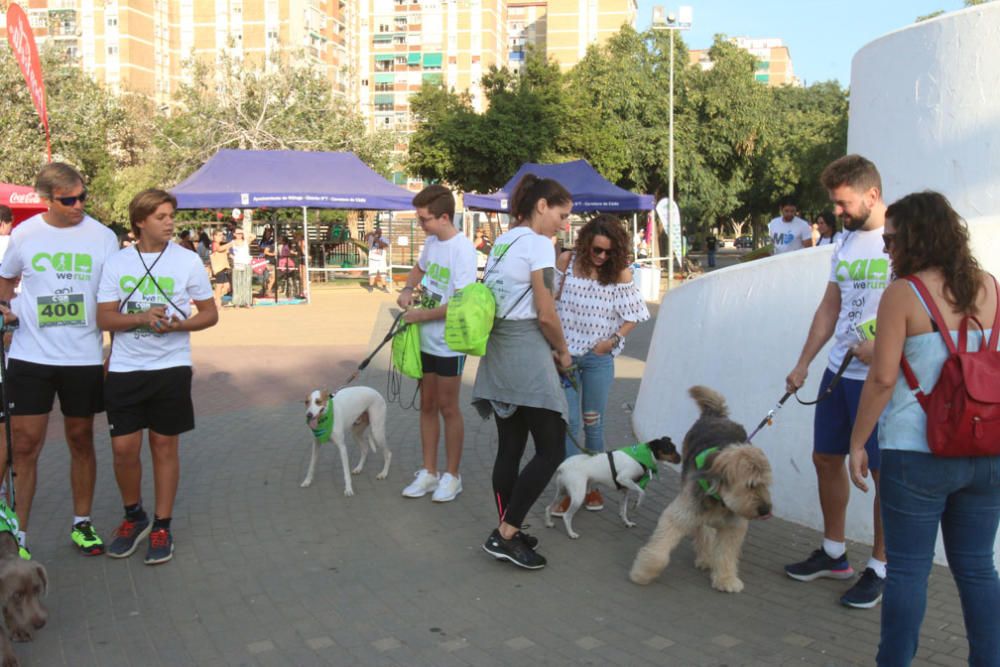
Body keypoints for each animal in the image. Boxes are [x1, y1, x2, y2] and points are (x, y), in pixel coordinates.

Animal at [0, 528, 47, 664]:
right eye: (17, 595)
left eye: (37, 589)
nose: (40, 624)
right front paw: (8, 658)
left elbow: (9, 609)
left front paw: (18, 631)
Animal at [548, 436, 680, 540]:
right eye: (669, 449)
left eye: (675, 447)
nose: (681, 458)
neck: (643, 455)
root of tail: (563, 465)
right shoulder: (623, 478)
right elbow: (642, 492)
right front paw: (637, 504)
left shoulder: (625, 490)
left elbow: (623, 509)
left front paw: (626, 522)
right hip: (578, 495)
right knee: (566, 516)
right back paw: (571, 534)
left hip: (562, 492)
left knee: (548, 507)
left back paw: (549, 523)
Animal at [632, 386, 772, 596]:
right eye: (750, 485)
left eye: (766, 484)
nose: (765, 511)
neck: (720, 499)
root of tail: (716, 415)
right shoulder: (680, 515)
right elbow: (659, 551)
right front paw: (644, 572)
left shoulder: (733, 526)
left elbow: (726, 554)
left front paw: (726, 578)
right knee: (704, 531)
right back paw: (705, 556)